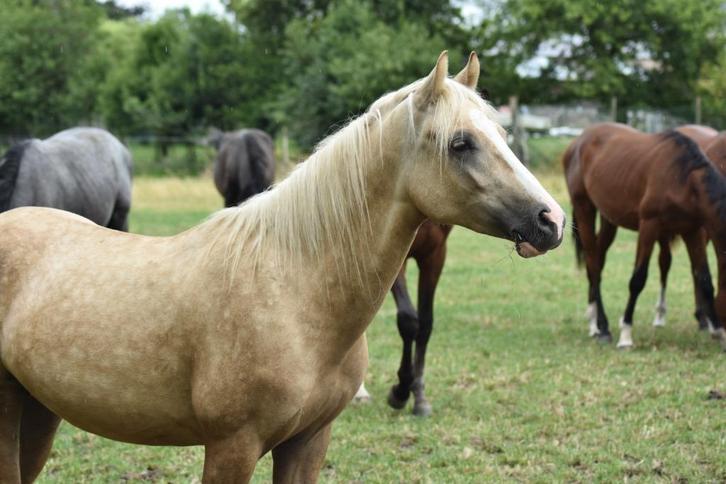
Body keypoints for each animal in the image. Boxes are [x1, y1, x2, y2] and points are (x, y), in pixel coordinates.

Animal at [564, 122, 726, 350]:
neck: (684, 179)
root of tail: (577, 142)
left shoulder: (692, 231)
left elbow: (704, 279)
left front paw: (719, 333)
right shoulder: (649, 226)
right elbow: (638, 279)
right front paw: (626, 334)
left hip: (608, 218)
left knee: (597, 259)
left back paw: (593, 322)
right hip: (583, 207)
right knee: (593, 265)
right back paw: (602, 328)